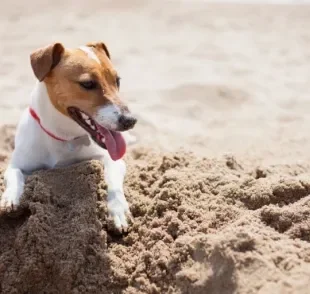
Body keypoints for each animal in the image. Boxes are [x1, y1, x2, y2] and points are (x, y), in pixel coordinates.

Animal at [0, 42, 138, 233]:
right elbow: (14, 174)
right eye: (88, 84)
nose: (130, 120)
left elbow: (113, 180)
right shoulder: (17, 163)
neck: (65, 138)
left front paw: (118, 210)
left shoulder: (112, 160)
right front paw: (11, 197)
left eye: (117, 81)